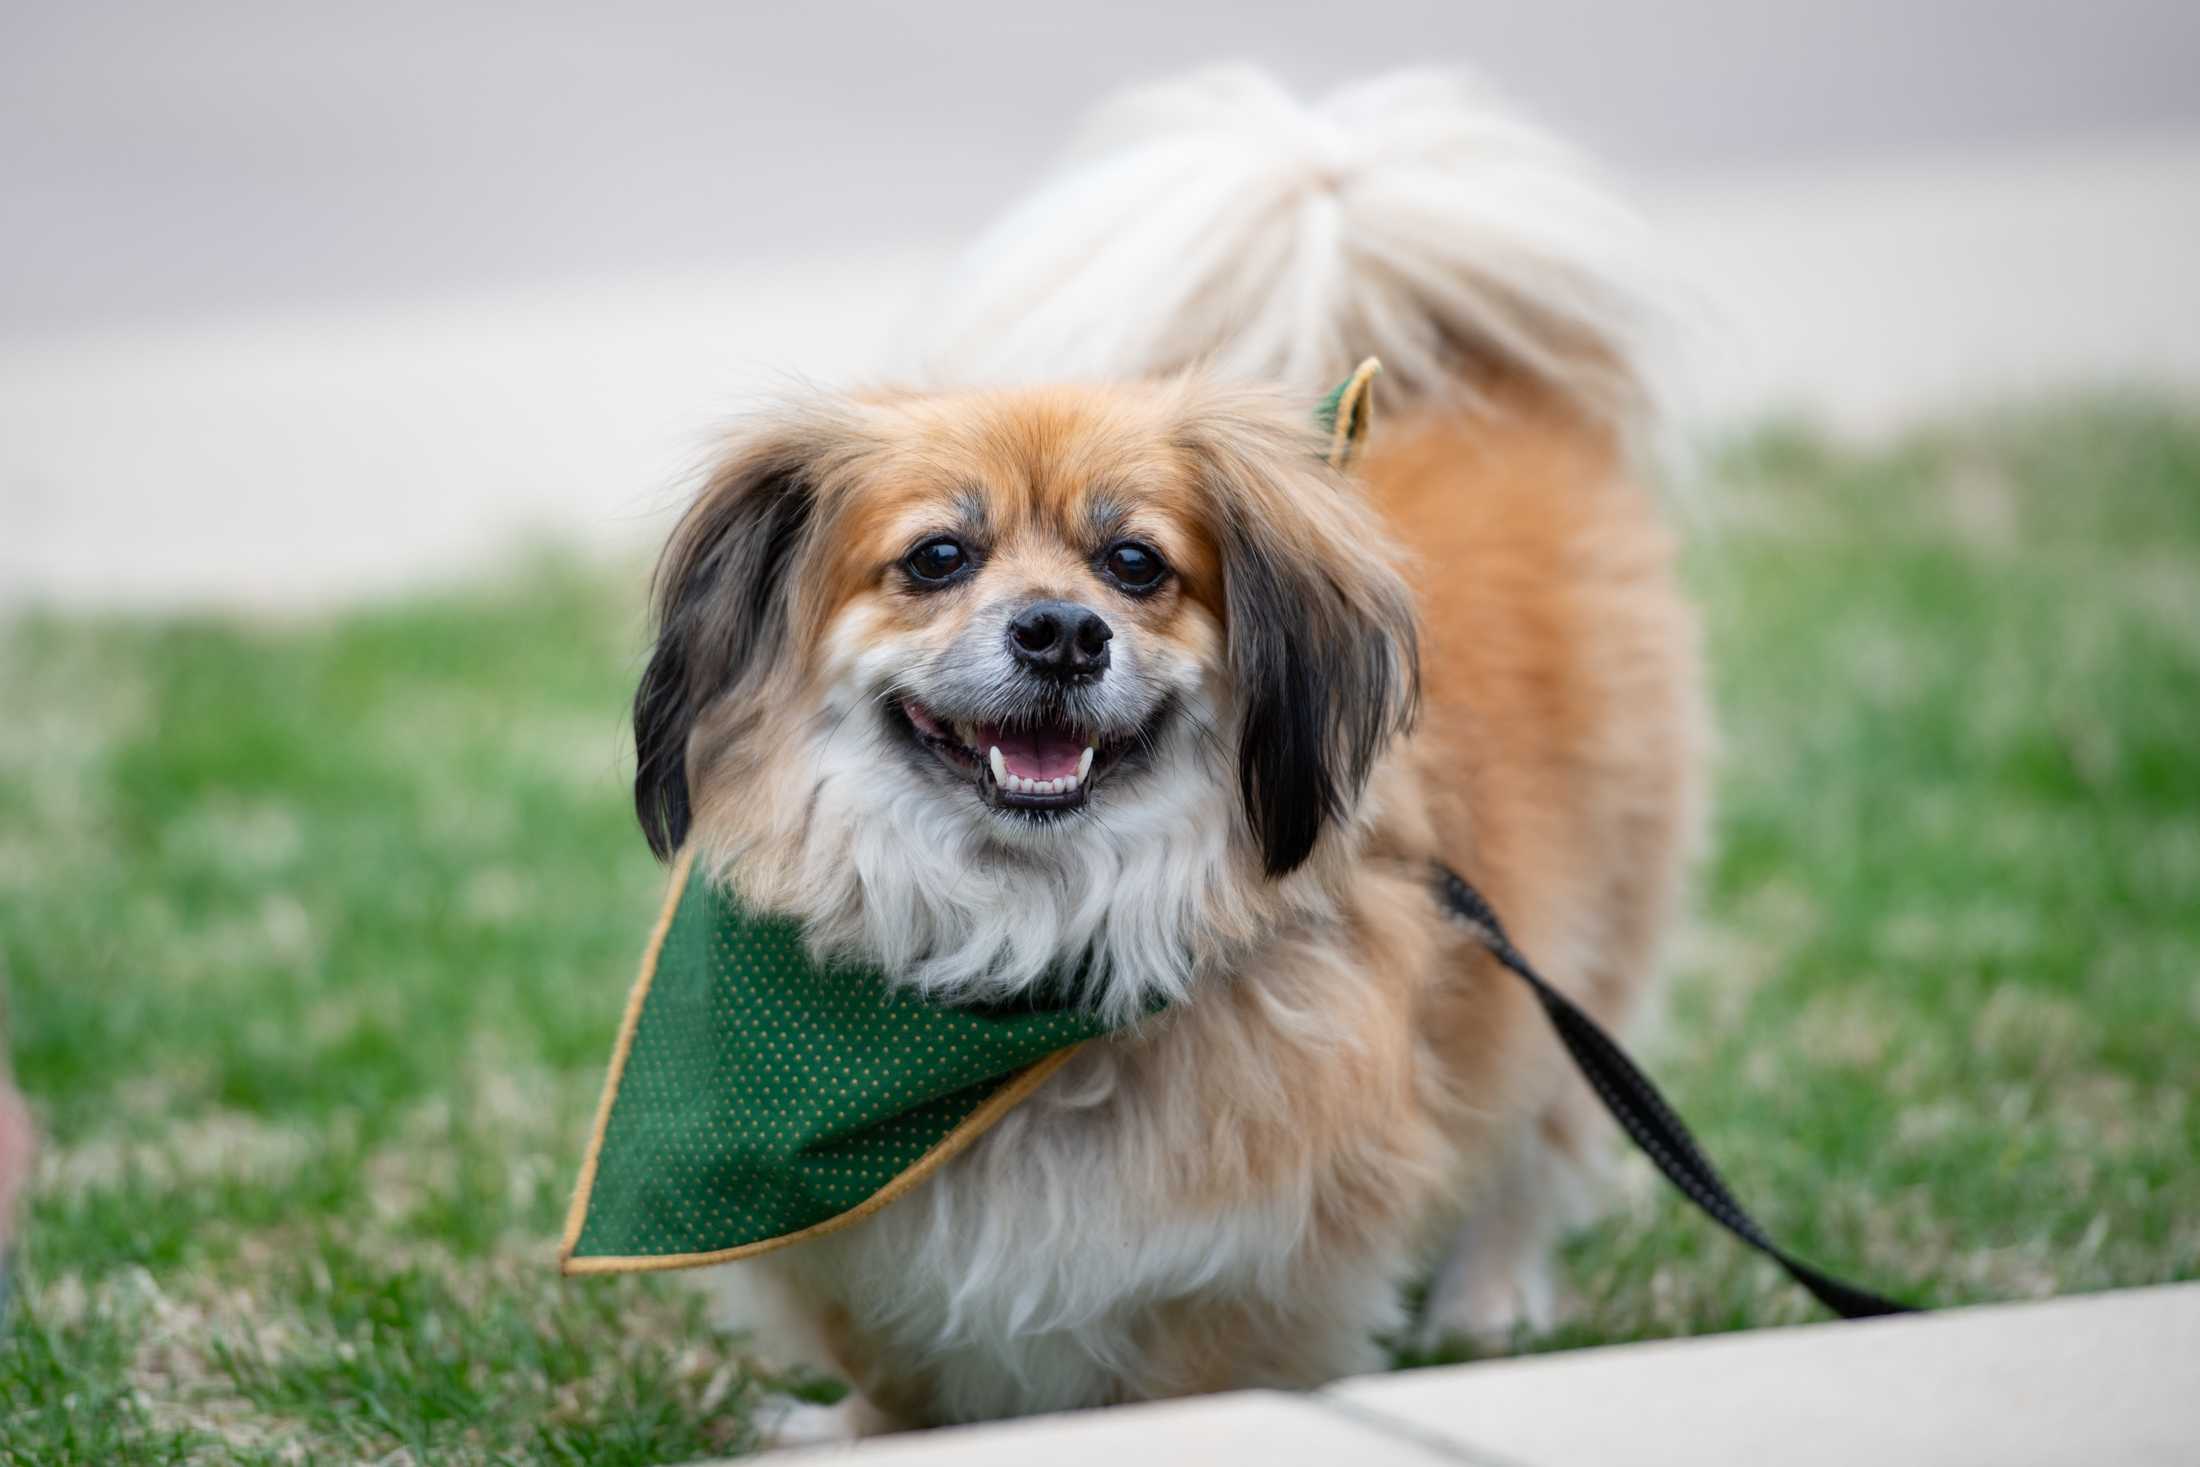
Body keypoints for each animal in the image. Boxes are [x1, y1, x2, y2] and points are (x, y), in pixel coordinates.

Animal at [629, 65, 1707, 1434]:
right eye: (938, 557)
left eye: (1136, 563)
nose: (1060, 631)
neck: (1018, 953)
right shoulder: (846, 1248)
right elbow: (892, 1365)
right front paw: (854, 1430)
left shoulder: (1258, 1243)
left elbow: (1194, 1362)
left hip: (1570, 953)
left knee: (1535, 1137)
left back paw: (1489, 1302)